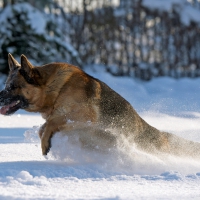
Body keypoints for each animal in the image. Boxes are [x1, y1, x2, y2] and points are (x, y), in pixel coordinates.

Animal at [0, 53, 200, 159]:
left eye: (12, 87)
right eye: (6, 85)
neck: (55, 89)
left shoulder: (82, 116)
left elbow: (49, 124)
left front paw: (45, 145)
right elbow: (44, 127)